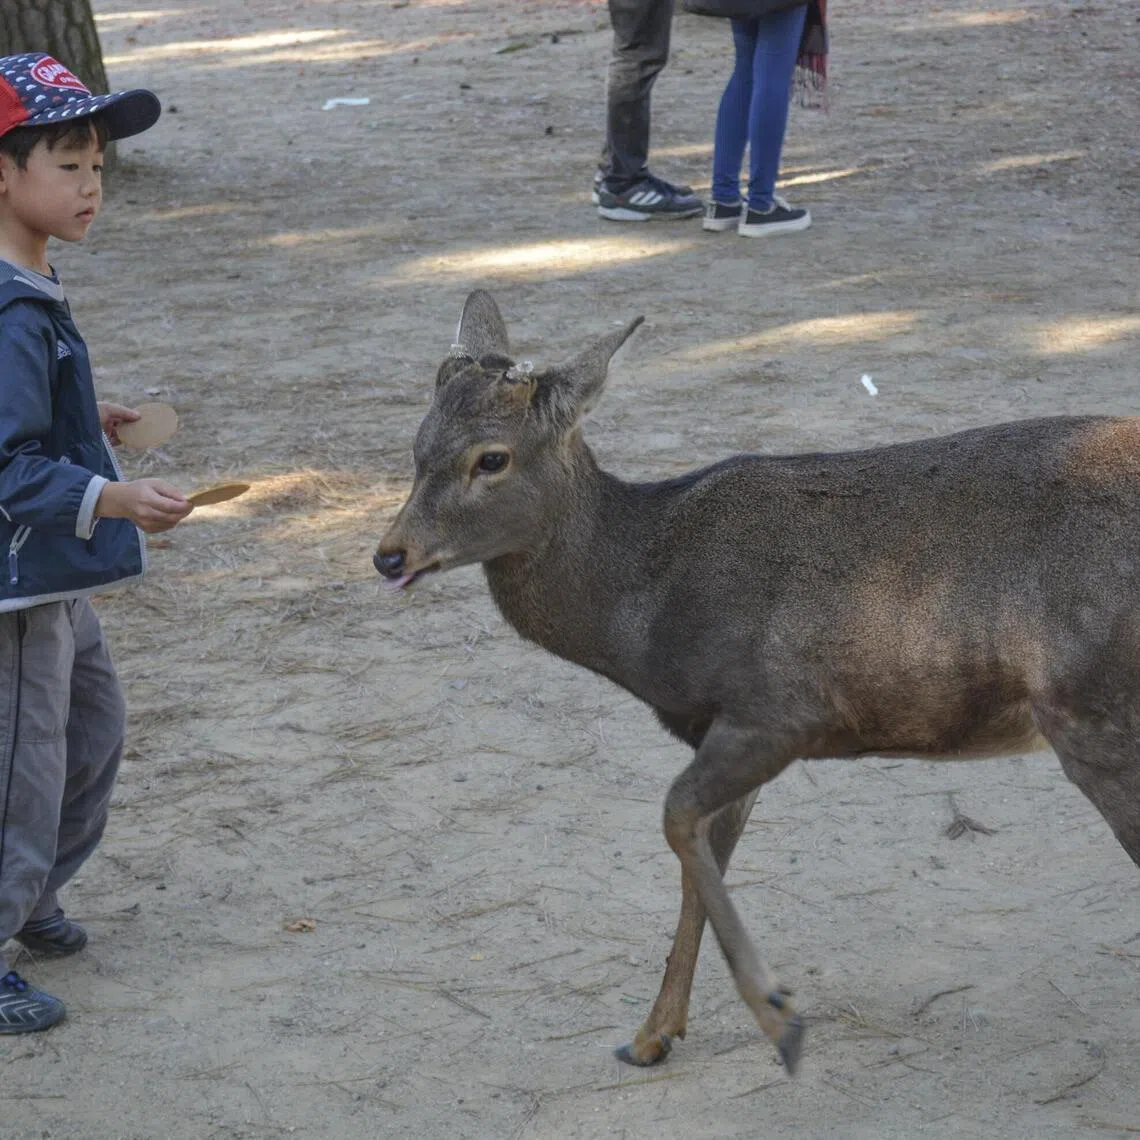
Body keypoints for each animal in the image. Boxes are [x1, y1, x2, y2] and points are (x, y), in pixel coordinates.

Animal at [374, 290, 1140, 1075]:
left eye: (491, 458)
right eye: (417, 445)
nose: (390, 556)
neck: (645, 616)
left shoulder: (777, 708)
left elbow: (676, 818)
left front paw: (778, 1015)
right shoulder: (722, 728)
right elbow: (701, 857)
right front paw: (651, 1035)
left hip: (1092, 708)